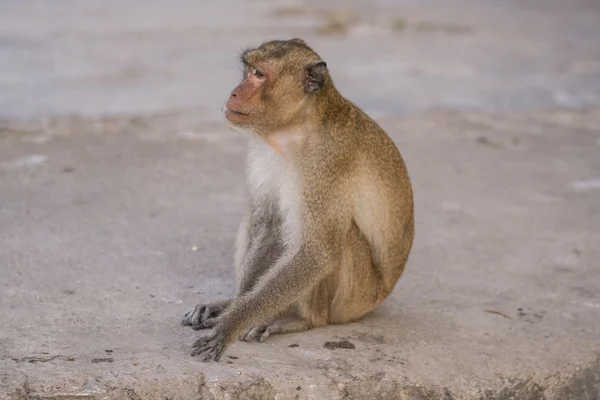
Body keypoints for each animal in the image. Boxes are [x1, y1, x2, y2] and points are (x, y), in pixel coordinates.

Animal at [180, 39, 414, 360]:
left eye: (259, 74)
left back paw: (299, 319)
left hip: (353, 299)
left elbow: (316, 253)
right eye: (248, 71)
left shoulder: (326, 162)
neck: (296, 130)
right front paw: (231, 306)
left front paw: (230, 325)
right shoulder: (263, 151)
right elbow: (268, 222)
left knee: (336, 239)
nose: (235, 91)